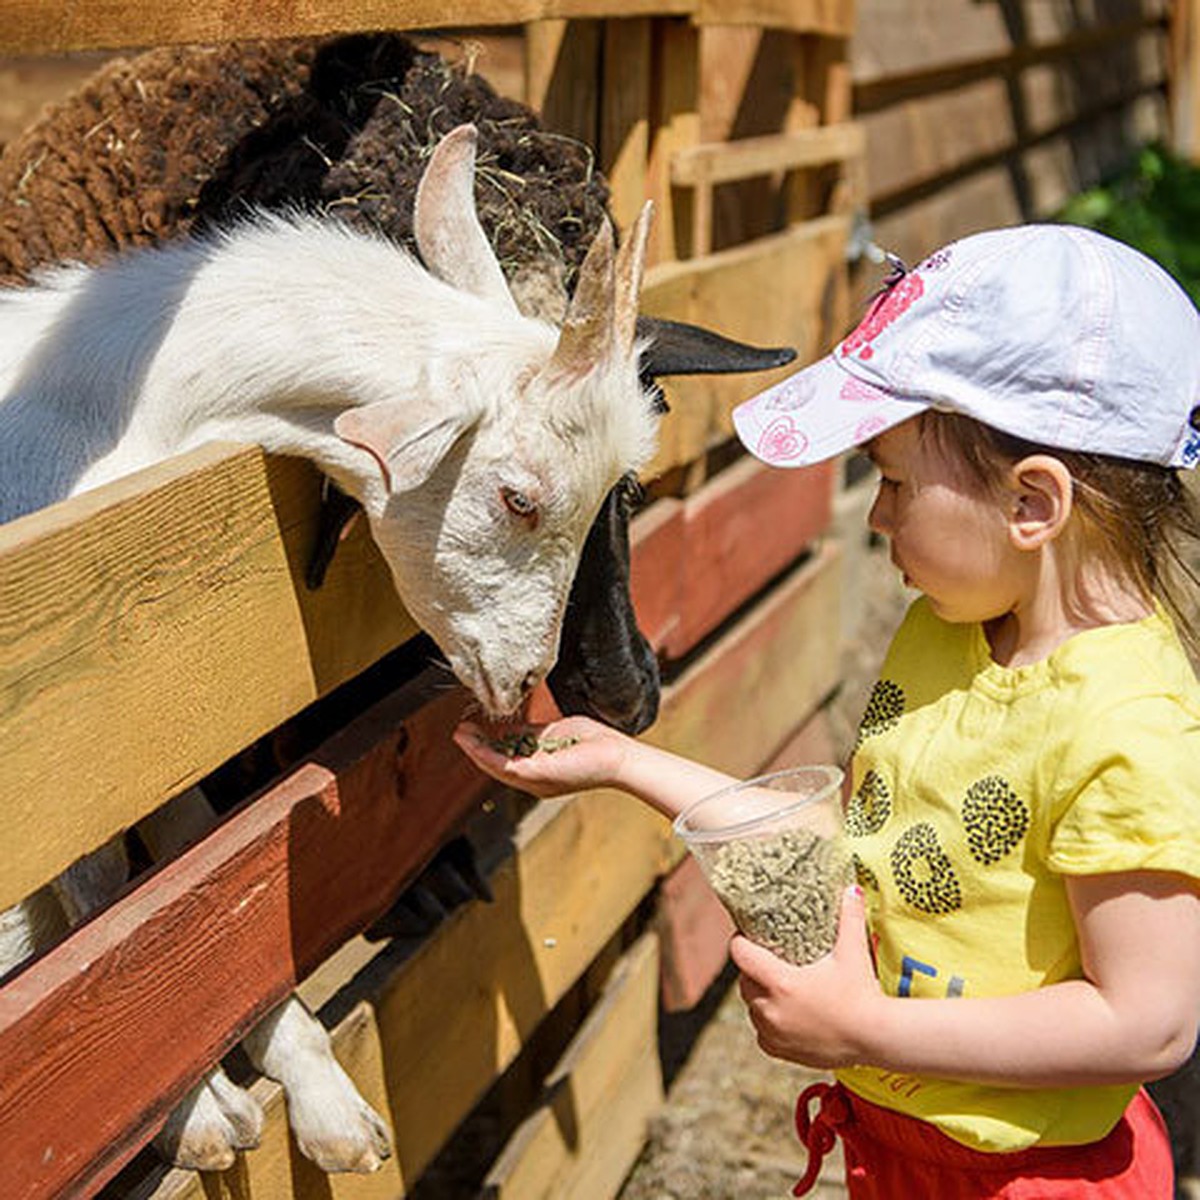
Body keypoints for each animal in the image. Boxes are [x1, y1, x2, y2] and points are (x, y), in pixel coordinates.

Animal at [0, 121, 657, 1171]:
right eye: (520, 498)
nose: (527, 681)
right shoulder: (63, 760)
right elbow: (101, 910)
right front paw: (195, 1114)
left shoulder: (153, 740)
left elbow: (196, 875)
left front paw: (319, 1102)